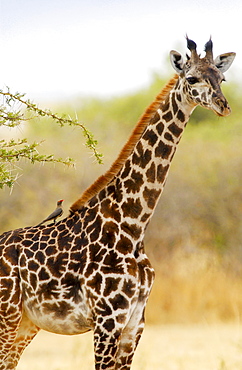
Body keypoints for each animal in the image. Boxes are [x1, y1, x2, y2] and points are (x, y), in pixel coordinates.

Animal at [0, 36, 234, 368]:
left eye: (221, 78)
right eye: (191, 78)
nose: (223, 106)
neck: (132, 224)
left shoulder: (135, 322)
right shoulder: (107, 320)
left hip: (25, 323)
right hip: (8, 316)